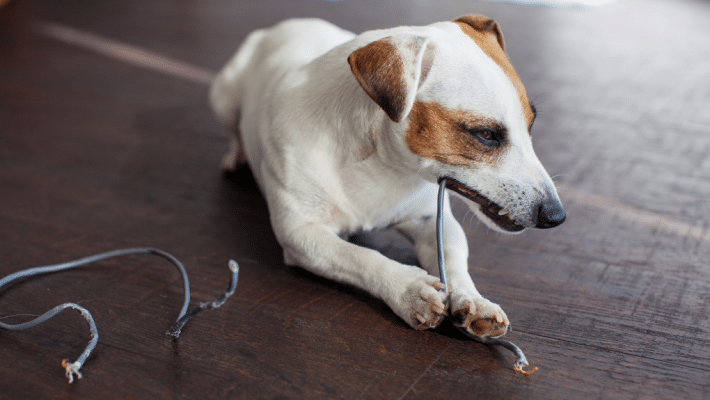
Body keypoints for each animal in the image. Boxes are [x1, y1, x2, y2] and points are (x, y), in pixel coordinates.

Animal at [210, 15, 568, 340]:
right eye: (486, 134)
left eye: (531, 124)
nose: (556, 216)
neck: (379, 161)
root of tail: (286, 23)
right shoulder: (300, 234)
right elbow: (359, 256)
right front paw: (408, 289)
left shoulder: (431, 220)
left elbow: (453, 259)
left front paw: (474, 300)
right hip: (223, 97)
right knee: (232, 129)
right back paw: (235, 155)